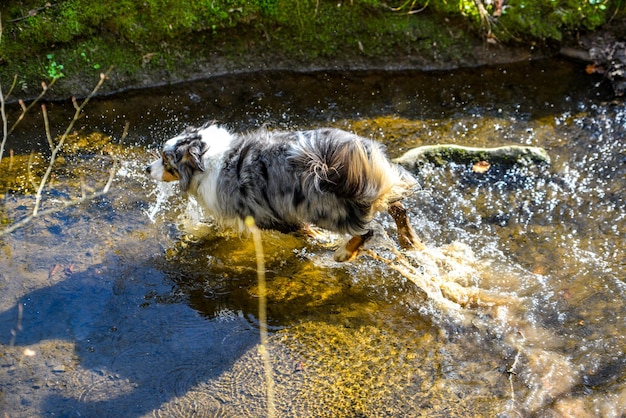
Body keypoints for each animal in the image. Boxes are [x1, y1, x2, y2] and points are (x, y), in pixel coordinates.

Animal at [145, 124, 424, 262]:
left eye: (165, 160)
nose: (147, 168)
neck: (206, 156)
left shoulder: (268, 216)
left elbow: (304, 232)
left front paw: (320, 242)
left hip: (327, 209)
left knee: (368, 229)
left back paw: (344, 253)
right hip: (376, 184)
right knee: (397, 205)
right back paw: (409, 241)